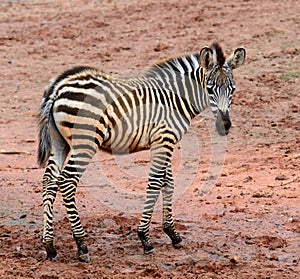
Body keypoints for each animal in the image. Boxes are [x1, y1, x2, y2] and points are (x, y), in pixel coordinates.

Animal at [37, 42, 245, 262]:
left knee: (49, 180)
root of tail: (58, 88)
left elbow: (168, 182)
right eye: (210, 89)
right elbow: (155, 183)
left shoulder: (163, 142)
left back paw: (50, 246)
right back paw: (81, 245)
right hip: (85, 142)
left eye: (232, 89)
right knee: (67, 182)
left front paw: (172, 233)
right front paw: (145, 238)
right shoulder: (164, 139)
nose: (225, 126)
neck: (175, 99)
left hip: (59, 142)